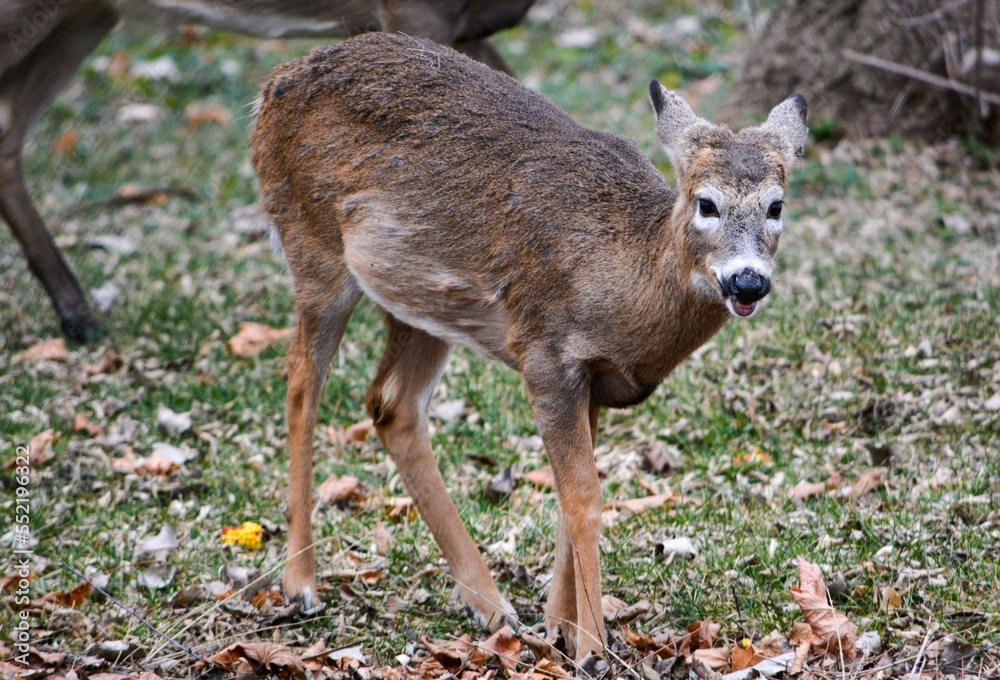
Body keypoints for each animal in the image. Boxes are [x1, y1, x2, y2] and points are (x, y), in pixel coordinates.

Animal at [254, 33, 808, 664]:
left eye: (777, 205)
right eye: (707, 203)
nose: (748, 281)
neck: (625, 276)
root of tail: (276, 83)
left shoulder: (594, 377)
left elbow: (571, 500)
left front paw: (559, 627)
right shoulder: (546, 351)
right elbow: (585, 499)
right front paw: (592, 646)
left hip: (419, 300)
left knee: (391, 403)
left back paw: (490, 605)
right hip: (313, 243)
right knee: (303, 380)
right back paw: (301, 584)